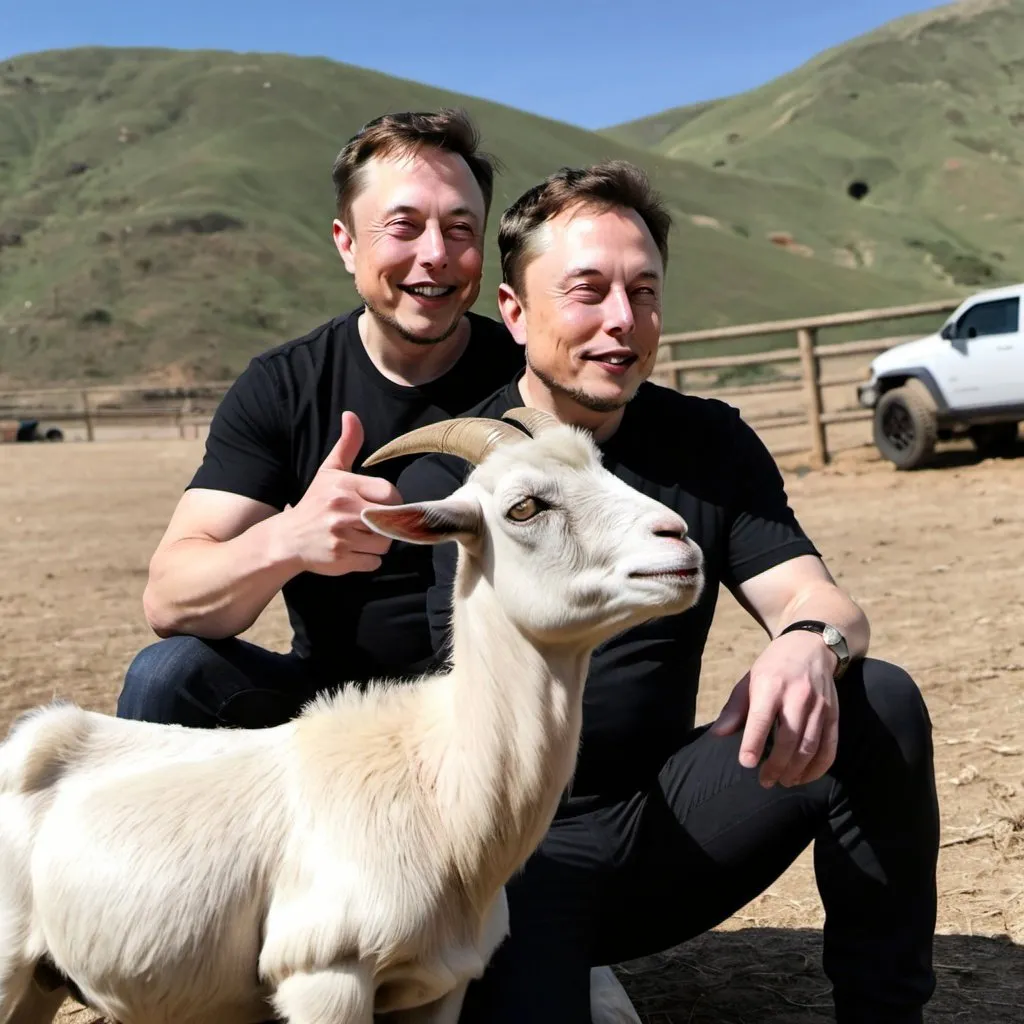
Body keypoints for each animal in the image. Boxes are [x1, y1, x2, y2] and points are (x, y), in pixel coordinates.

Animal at [0, 407, 700, 1024]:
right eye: (525, 506)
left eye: (604, 468)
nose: (680, 540)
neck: (437, 785)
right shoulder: (323, 974)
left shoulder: (439, 985)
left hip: (40, 982)